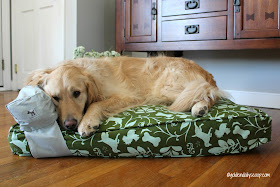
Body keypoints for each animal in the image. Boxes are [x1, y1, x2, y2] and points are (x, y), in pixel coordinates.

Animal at [26, 56, 225, 137]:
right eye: (55, 97)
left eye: (77, 93)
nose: (69, 124)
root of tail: (206, 72)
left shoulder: (128, 96)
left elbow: (95, 104)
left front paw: (87, 123)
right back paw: (200, 107)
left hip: (166, 88)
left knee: (210, 92)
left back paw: (200, 106)